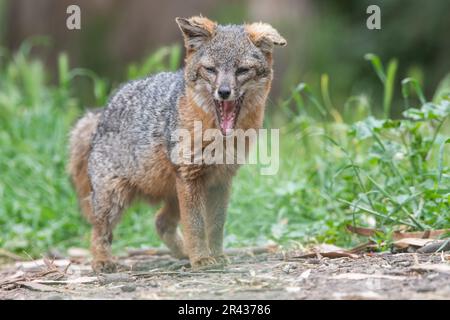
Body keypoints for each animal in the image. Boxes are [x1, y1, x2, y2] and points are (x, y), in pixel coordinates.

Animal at [68, 15, 286, 272]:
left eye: (242, 70)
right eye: (211, 70)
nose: (223, 92)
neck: (217, 138)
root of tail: (101, 113)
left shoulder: (221, 180)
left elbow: (215, 225)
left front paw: (215, 255)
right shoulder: (191, 177)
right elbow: (196, 225)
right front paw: (201, 260)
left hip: (173, 194)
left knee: (160, 222)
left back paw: (183, 253)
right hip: (114, 199)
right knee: (98, 231)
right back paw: (102, 261)